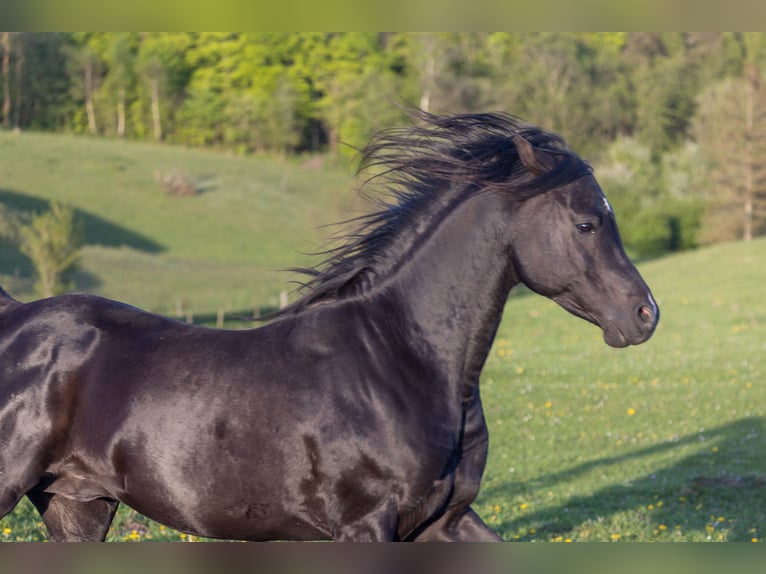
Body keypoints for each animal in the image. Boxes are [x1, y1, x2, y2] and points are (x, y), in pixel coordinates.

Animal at [0, 111, 658, 541]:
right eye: (586, 223)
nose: (646, 314)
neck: (399, 359)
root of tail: (14, 316)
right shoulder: (365, 526)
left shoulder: (443, 521)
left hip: (78, 507)